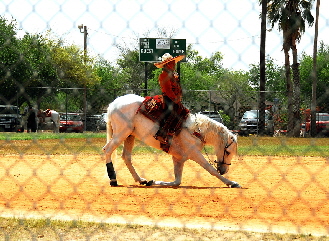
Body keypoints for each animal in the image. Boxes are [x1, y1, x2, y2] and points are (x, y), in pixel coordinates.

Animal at [102, 94, 241, 188]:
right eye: (228, 152)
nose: (224, 170)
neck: (196, 130)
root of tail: (113, 104)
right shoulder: (195, 154)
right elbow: (210, 169)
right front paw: (232, 183)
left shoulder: (178, 158)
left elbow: (177, 181)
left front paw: (153, 182)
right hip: (121, 133)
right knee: (107, 150)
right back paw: (113, 180)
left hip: (130, 135)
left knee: (126, 156)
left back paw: (141, 180)